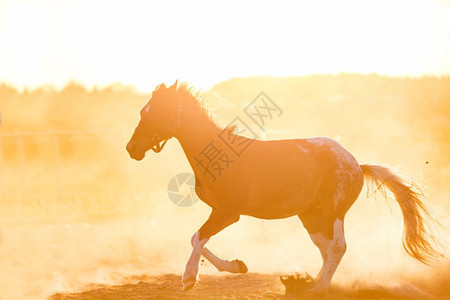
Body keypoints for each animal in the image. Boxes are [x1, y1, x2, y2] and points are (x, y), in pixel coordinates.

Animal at [126, 81, 440, 292]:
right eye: (143, 111)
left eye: (156, 113)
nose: (132, 149)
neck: (222, 156)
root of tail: (356, 164)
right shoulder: (223, 213)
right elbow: (197, 239)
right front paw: (237, 265)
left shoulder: (228, 212)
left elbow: (198, 237)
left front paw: (189, 278)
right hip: (310, 216)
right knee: (326, 249)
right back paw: (311, 283)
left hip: (334, 210)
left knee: (338, 247)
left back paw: (318, 288)